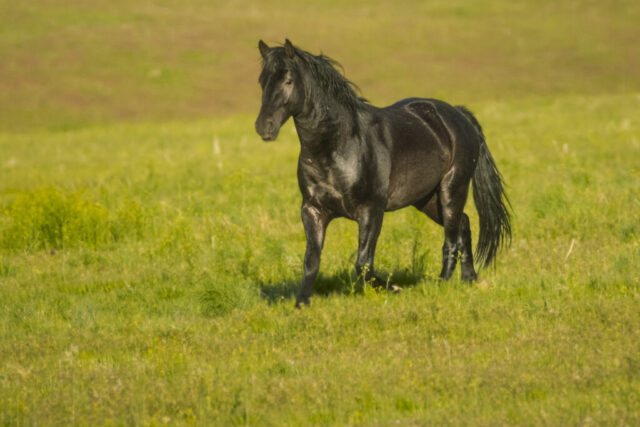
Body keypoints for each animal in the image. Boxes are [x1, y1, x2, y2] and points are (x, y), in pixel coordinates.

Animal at [255, 39, 511, 307]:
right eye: (262, 80)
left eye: (288, 80)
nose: (264, 127)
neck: (339, 147)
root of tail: (459, 115)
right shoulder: (312, 210)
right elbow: (311, 261)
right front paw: (302, 303)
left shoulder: (371, 210)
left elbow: (363, 264)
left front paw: (395, 288)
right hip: (428, 200)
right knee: (464, 224)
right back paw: (471, 279)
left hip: (452, 189)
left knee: (451, 240)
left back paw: (442, 284)